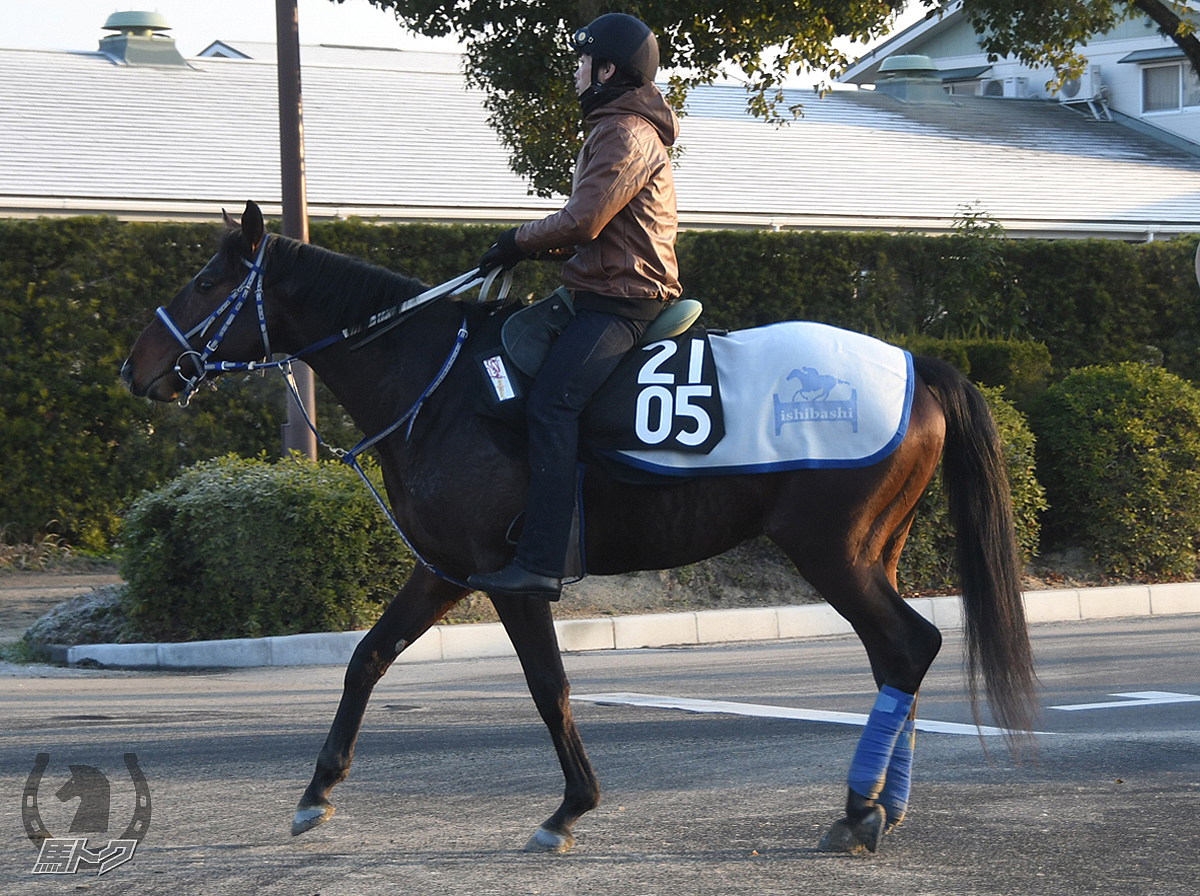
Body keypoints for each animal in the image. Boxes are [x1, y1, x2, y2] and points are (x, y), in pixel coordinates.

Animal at [124, 201, 1041, 854]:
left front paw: (570, 807)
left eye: (206, 282)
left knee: (908, 647)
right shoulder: (444, 570)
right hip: (871, 552)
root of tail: (918, 363)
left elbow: (549, 685)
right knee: (900, 656)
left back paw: (860, 809)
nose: (137, 367)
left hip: (833, 550)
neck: (438, 382)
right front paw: (317, 792)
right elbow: (367, 659)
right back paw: (880, 805)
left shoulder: (510, 579)